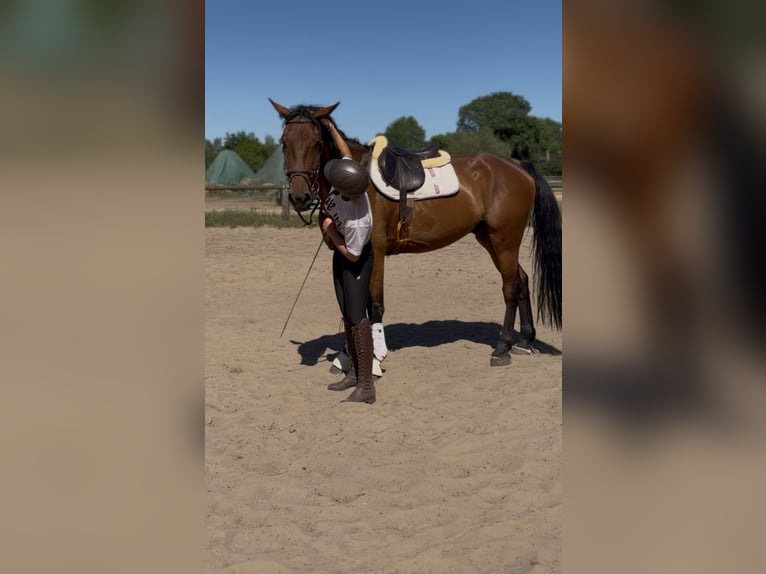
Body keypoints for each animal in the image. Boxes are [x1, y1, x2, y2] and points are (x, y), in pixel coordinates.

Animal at [270, 99, 561, 367]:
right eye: (284, 142)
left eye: (318, 143)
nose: (299, 197)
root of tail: (518, 165)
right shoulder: (343, 253)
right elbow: (349, 305)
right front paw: (347, 356)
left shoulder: (374, 251)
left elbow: (373, 304)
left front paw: (375, 356)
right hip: (491, 240)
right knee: (521, 280)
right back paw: (524, 341)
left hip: (504, 241)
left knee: (510, 287)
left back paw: (502, 348)